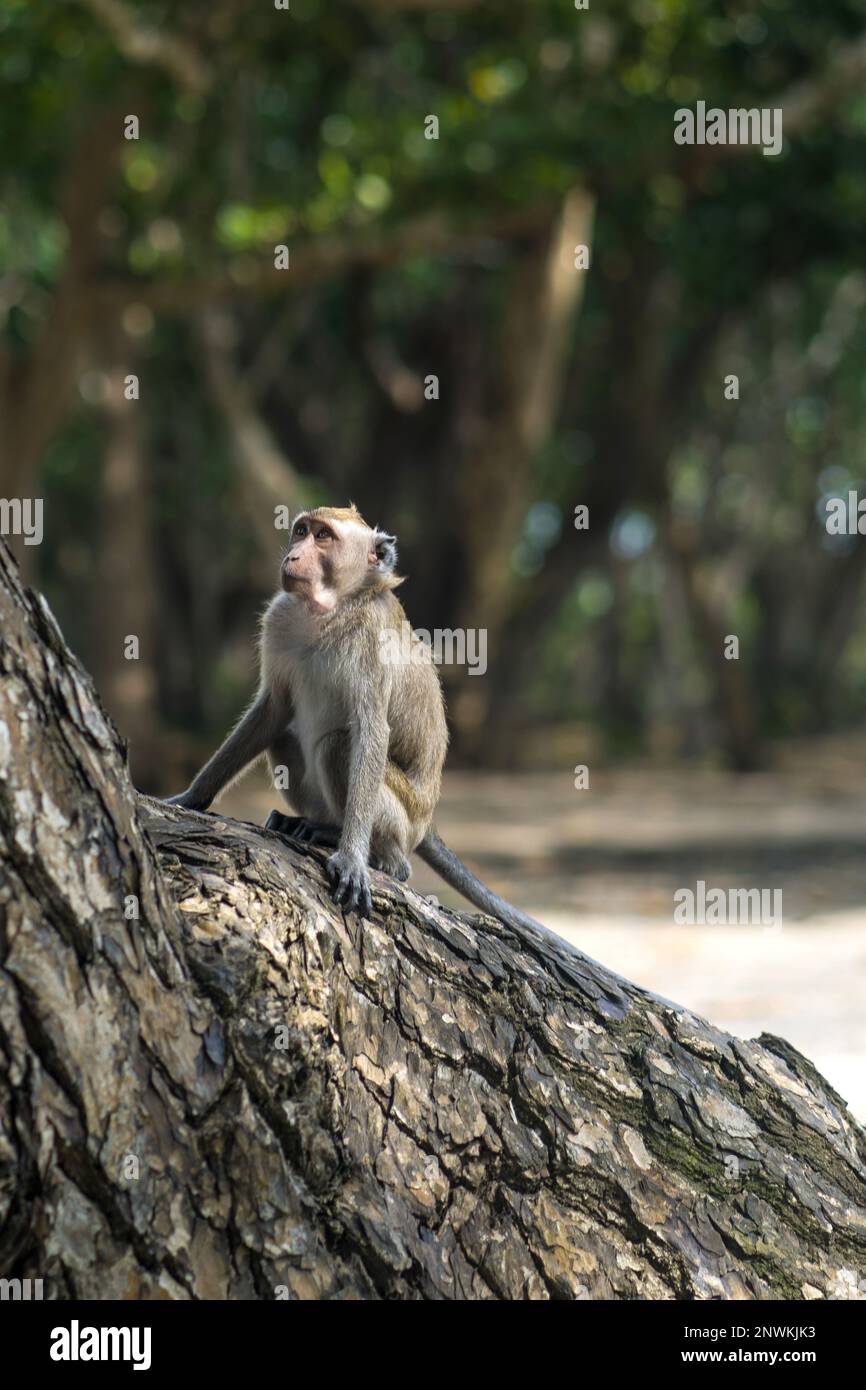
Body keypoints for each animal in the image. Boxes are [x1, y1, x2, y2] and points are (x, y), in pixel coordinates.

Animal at [167, 505, 547, 939]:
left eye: (323, 537)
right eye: (301, 531)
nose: (293, 555)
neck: (329, 609)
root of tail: (427, 820)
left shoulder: (370, 638)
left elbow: (370, 731)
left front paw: (351, 857)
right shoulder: (279, 617)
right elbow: (273, 709)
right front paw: (190, 797)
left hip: (402, 819)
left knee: (338, 746)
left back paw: (367, 850)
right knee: (285, 737)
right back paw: (310, 823)